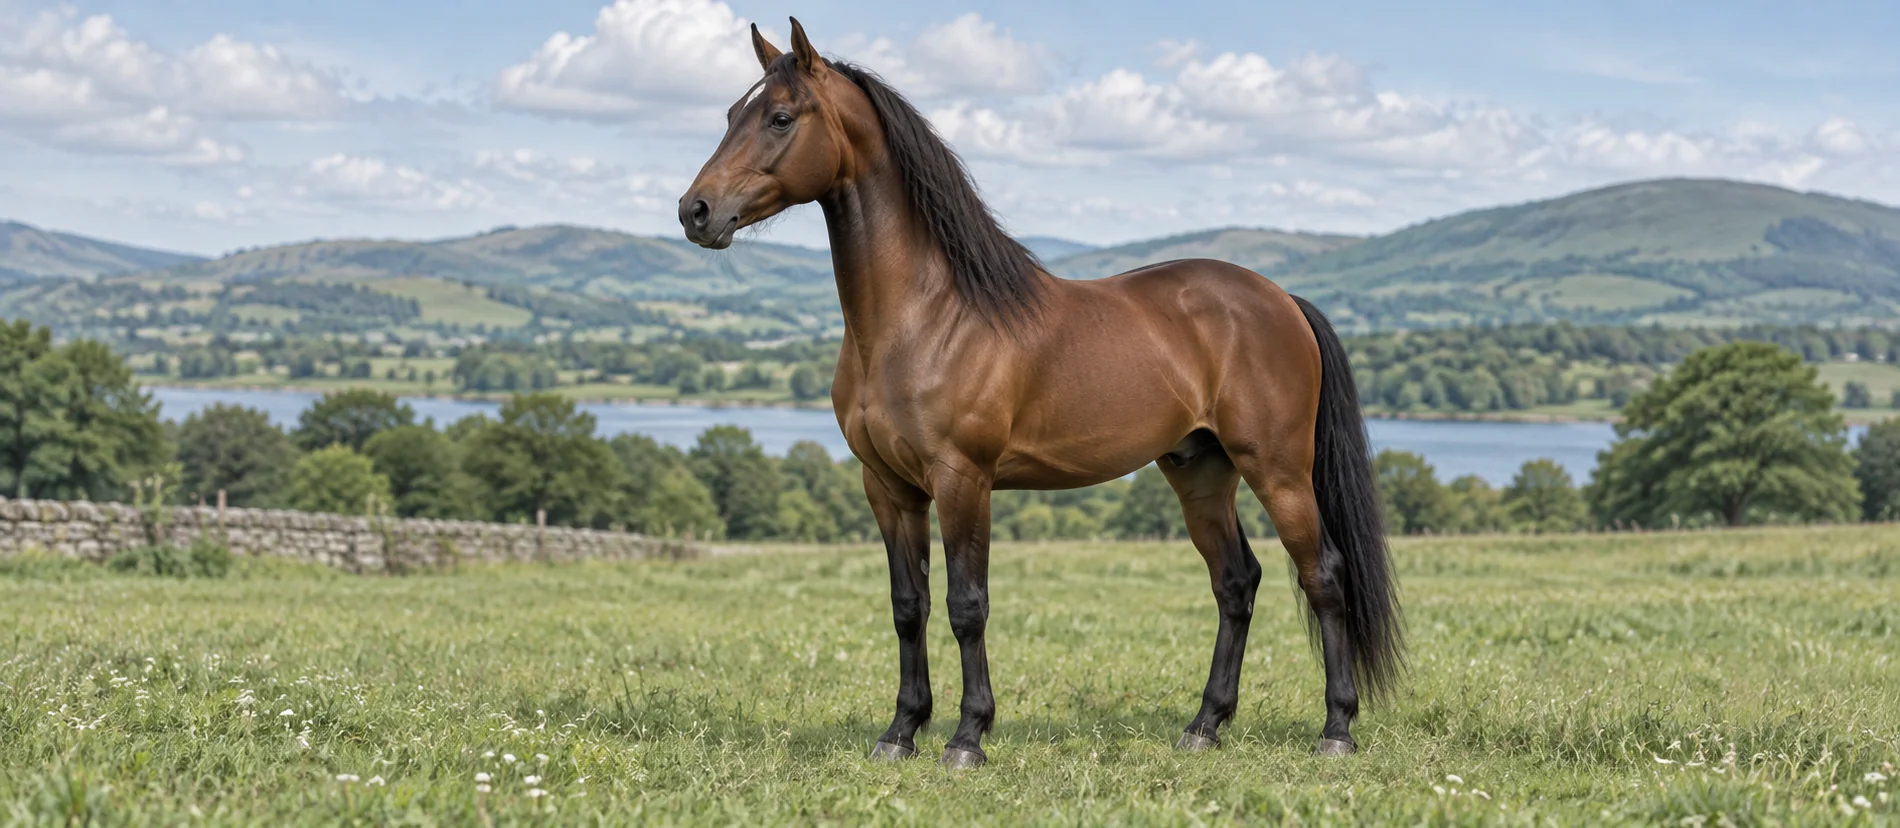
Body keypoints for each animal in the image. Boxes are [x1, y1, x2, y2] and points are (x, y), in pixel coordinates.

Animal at [679, 18, 1402, 769]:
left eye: (781, 117)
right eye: (731, 114)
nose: (695, 212)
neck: (923, 316)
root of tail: (1280, 300)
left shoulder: (962, 480)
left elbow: (967, 605)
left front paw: (968, 738)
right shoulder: (888, 487)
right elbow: (909, 606)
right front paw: (901, 732)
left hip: (1278, 469)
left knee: (1323, 575)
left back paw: (1336, 731)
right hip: (1200, 471)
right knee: (1236, 583)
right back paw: (1204, 725)